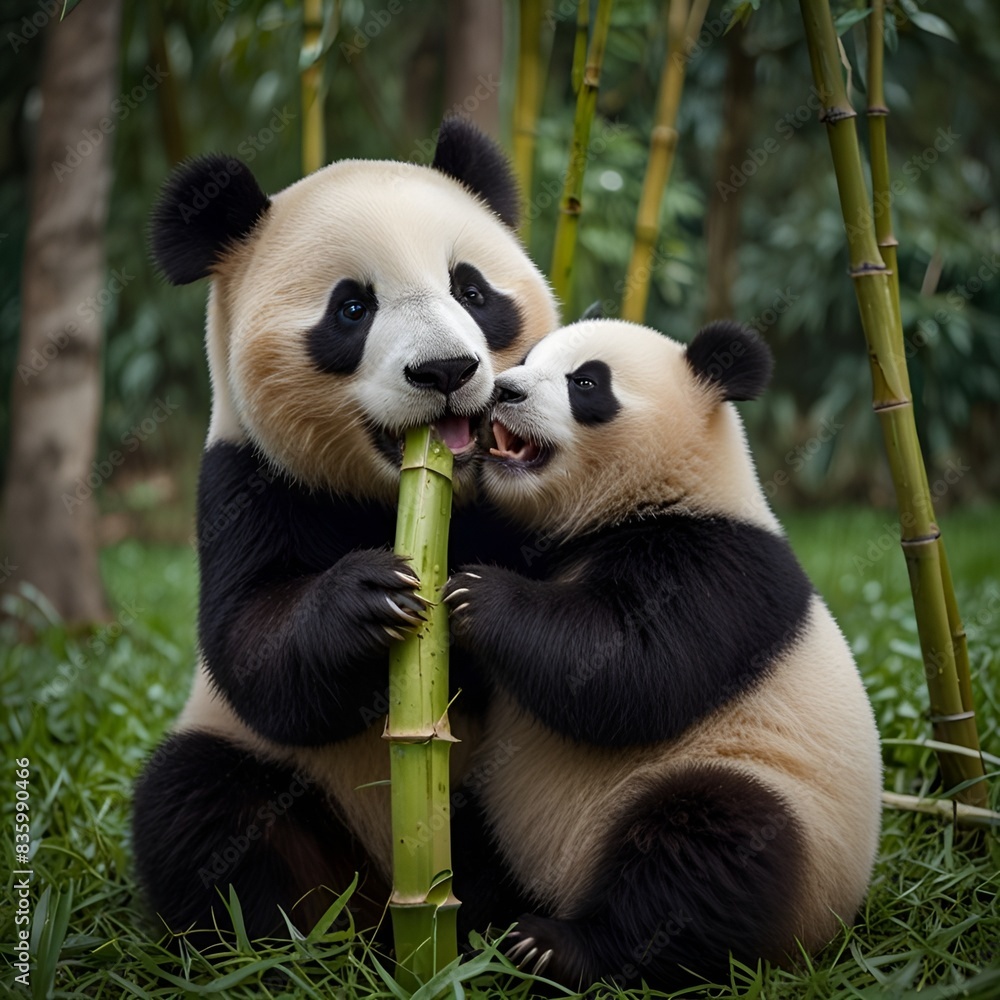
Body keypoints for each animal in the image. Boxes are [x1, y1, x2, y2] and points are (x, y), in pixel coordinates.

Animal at [131, 117, 559, 948]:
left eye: (471, 290)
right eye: (352, 310)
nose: (446, 371)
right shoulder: (246, 482)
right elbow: (250, 649)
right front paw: (369, 595)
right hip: (292, 797)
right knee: (199, 805)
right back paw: (294, 945)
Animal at [444, 318, 883, 990]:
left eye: (586, 383)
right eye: (525, 359)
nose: (505, 392)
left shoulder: (717, 568)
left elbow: (630, 670)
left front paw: (477, 594)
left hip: (767, 802)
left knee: (702, 854)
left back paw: (556, 947)